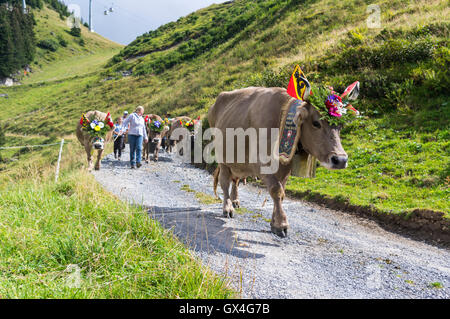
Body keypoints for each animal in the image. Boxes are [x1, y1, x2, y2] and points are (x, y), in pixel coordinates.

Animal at [207, 87, 348, 238]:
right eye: (316, 123)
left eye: (340, 126)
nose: (341, 160)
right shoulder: (261, 164)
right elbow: (276, 190)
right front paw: (281, 224)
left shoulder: (285, 169)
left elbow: (281, 193)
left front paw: (274, 222)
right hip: (223, 160)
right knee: (224, 182)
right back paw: (227, 208)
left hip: (238, 162)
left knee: (236, 180)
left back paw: (235, 201)